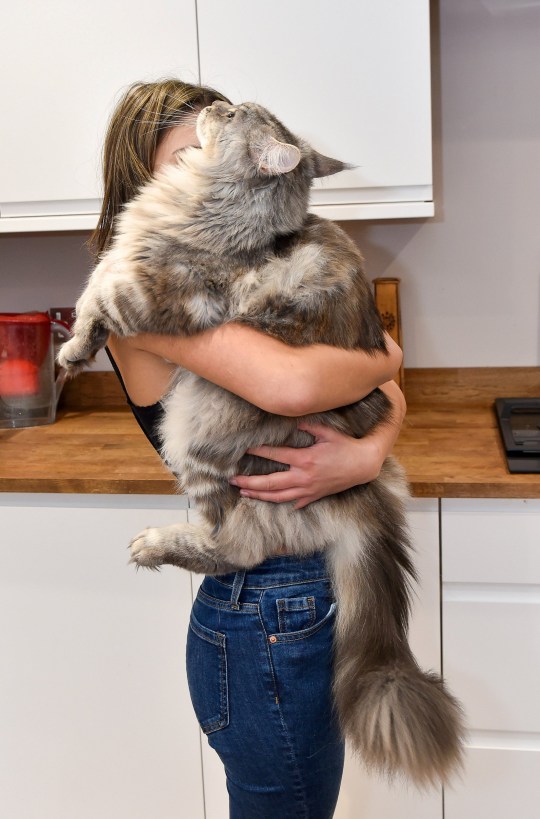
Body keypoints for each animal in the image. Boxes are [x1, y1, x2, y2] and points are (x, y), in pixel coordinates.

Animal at [58, 99, 464, 784]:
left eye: (230, 115)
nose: (214, 104)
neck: (200, 209)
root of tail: (360, 496)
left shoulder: (155, 294)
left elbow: (103, 301)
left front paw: (71, 349)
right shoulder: (118, 261)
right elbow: (92, 284)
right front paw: (74, 347)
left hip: (195, 424)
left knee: (233, 548)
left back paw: (154, 543)